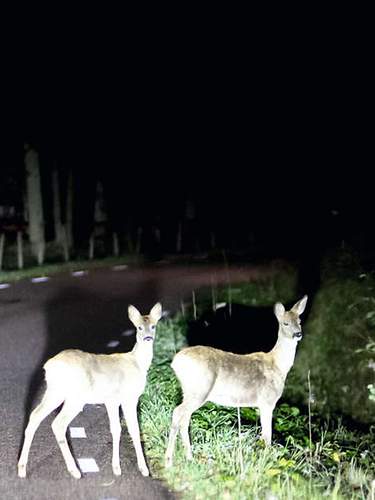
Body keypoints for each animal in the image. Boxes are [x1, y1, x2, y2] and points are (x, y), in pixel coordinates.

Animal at [18, 302, 163, 478]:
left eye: (153, 326)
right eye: (139, 327)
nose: (148, 338)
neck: (137, 363)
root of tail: (49, 366)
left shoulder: (121, 400)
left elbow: (126, 429)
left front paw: (131, 468)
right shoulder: (121, 398)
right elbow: (125, 429)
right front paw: (127, 468)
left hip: (55, 392)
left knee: (35, 415)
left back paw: (22, 468)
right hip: (74, 397)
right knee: (58, 423)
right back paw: (75, 471)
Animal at [165, 294, 308, 466]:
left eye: (299, 321)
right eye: (285, 323)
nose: (298, 334)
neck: (278, 365)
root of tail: (175, 362)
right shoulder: (267, 401)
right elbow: (267, 435)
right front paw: (267, 459)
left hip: (190, 391)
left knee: (184, 418)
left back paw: (189, 457)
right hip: (199, 390)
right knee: (178, 412)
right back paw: (169, 460)